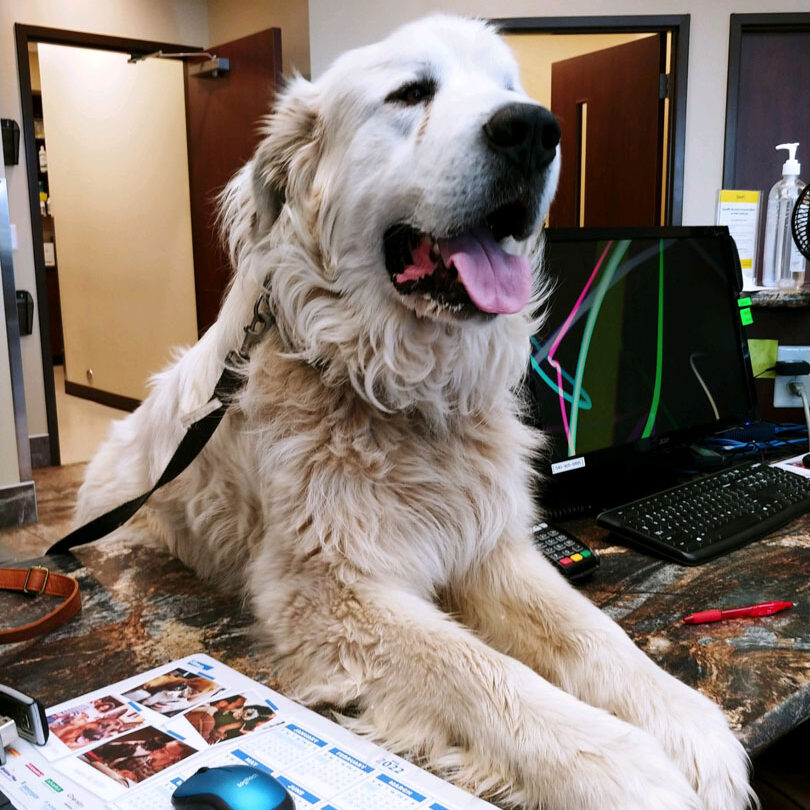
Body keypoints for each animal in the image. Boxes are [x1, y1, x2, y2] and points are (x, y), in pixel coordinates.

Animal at [79, 14, 756, 808]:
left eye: (508, 88)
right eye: (411, 93)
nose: (534, 129)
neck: (401, 386)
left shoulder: (492, 548)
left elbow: (592, 633)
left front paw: (689, 724)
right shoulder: (336, 595)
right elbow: (487, 675)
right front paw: (624, 768)